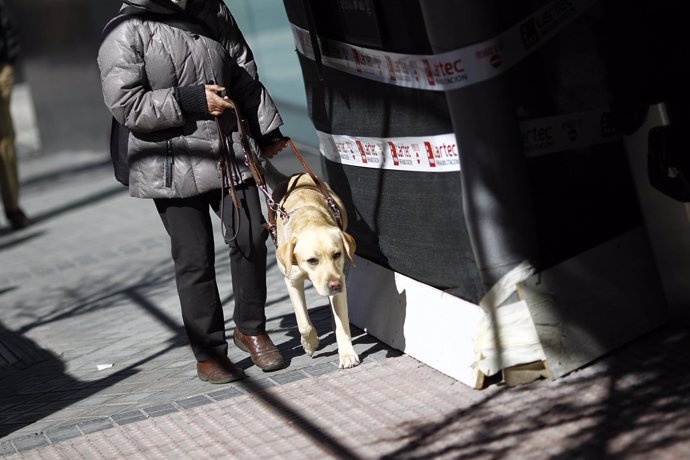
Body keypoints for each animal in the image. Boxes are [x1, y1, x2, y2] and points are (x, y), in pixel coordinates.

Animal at [264, 160, 360, 368]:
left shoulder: (340, 278)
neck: (310, 219)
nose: (335, 284)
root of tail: (291, 176)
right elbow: (304, 324)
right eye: (312, 260)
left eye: (337, 254)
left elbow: (341, 323)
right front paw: (310, 343)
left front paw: (347, 354)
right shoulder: (292, 282)